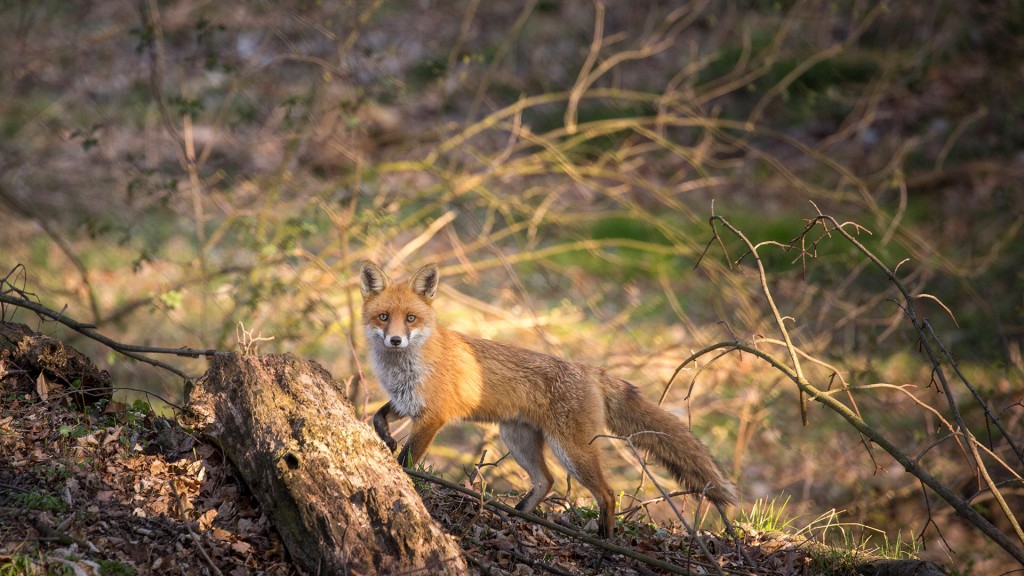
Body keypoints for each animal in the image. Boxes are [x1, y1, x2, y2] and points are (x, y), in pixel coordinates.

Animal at [359, 260, 736, 537]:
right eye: (383, 317)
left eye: (411, 318)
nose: (395, 340)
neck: (404, 366)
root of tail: (591, 369)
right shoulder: (407, 402)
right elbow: (378, 417)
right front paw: (385, 438)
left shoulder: (434, 415)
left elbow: (407, 461)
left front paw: (404, 479)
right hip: (518, 439)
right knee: (546, 481)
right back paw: (520, 516)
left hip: (571, 450)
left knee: (606, 493)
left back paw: (605, 538)